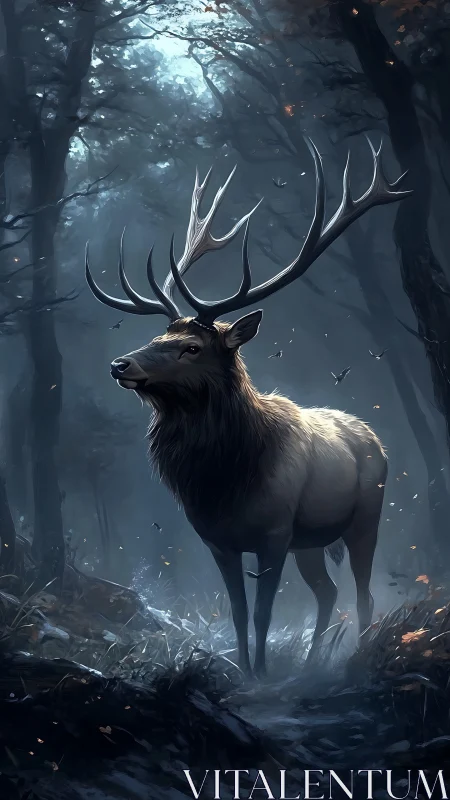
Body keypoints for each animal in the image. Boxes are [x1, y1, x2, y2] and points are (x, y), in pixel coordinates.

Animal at [86, 139, 410, 677]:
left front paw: (261, 674)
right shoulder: (217, 540)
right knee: (328, 592)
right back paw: (311, 660)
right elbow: (237, 612)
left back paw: (355, 656)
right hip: (311, 541)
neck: (225, 480)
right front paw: (242, 670)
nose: (119, 364)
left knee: (361, 593)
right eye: (159, 336)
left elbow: (263, 613)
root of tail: (372, 435)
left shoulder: (275, 533)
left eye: (192, 347)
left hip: (366, 515)